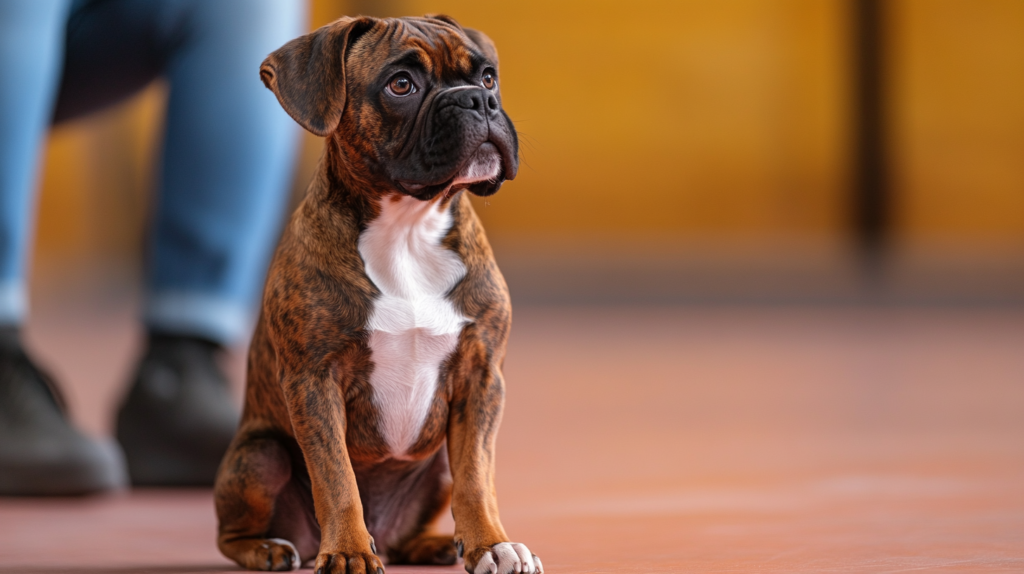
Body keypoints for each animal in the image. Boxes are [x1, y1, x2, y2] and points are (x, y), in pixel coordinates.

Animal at [211, 12, 540, 572]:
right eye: (400, 85)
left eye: (488, 77)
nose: (477, 100)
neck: (407, 228)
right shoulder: (314, 382)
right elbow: (336, 477)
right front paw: (347, 552)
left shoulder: (480, 379)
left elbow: (477, 477)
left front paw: (491, 544)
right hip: (260, 456)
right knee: (232, 532)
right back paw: (268, 548)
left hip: (435, 464)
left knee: (428, 509)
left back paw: (433, 545)